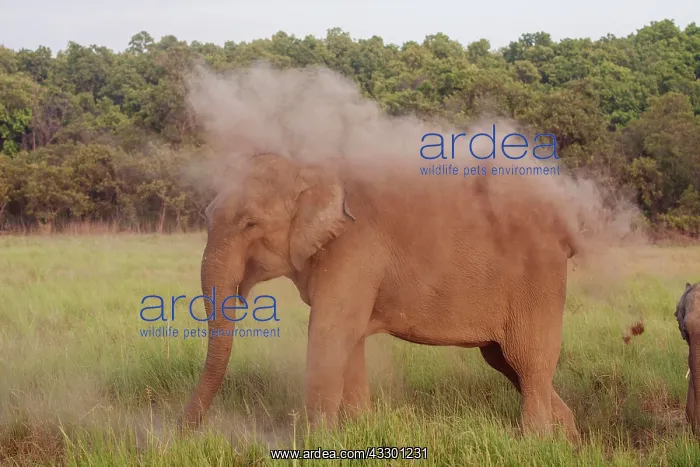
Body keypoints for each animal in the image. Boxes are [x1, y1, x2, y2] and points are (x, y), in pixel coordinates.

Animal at [179, 152, 582, 443]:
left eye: (250, 224)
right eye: (208, 216)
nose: (182, 435)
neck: (310, 170)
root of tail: (567, 231)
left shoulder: (354, 252)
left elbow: (329, 335)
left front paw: (318, 444)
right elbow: (351, 340)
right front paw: (359, 431)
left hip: (539, 281)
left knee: (527, 360)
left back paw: (533, 444)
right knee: (506, 362)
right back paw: (569, 441)